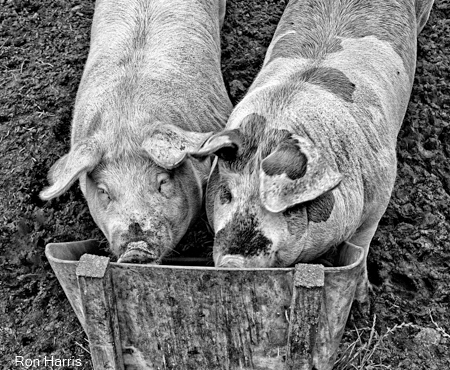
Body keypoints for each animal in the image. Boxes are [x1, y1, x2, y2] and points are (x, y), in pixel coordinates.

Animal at [192, 0, 434, 304]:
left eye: (289, 208)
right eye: (227, 193)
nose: (233, 263)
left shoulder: (382, 188)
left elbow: (361, 243)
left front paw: (363, 299)